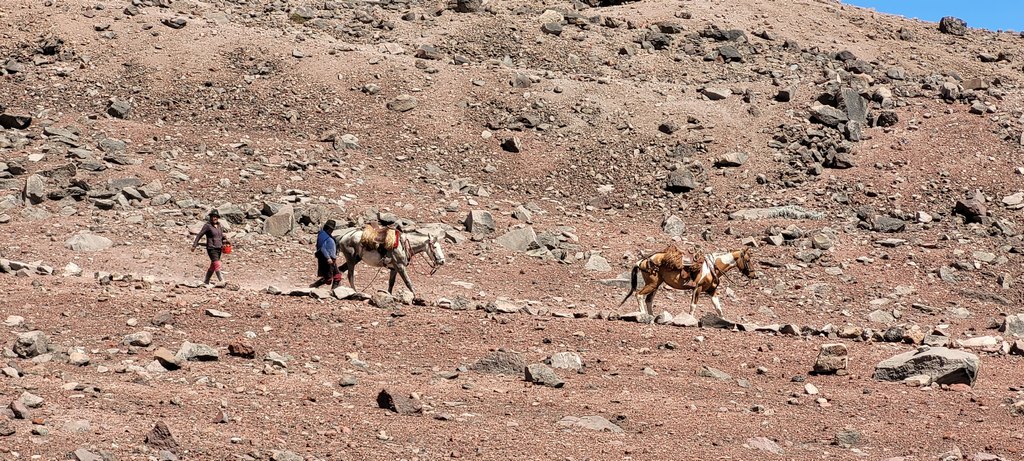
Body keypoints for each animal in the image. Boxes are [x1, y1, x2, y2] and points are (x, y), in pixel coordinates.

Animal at [618, 248, 757, 317]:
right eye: (748, 260)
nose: (754, 275)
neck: (712, 267)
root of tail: (642, 261)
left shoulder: (712, 291)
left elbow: (718, 308)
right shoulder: (697, 288)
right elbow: (693, 306)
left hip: (655, 285)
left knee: (648, 300)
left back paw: (652, 317)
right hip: (651, 284)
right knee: (639, 295)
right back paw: (642, 315)